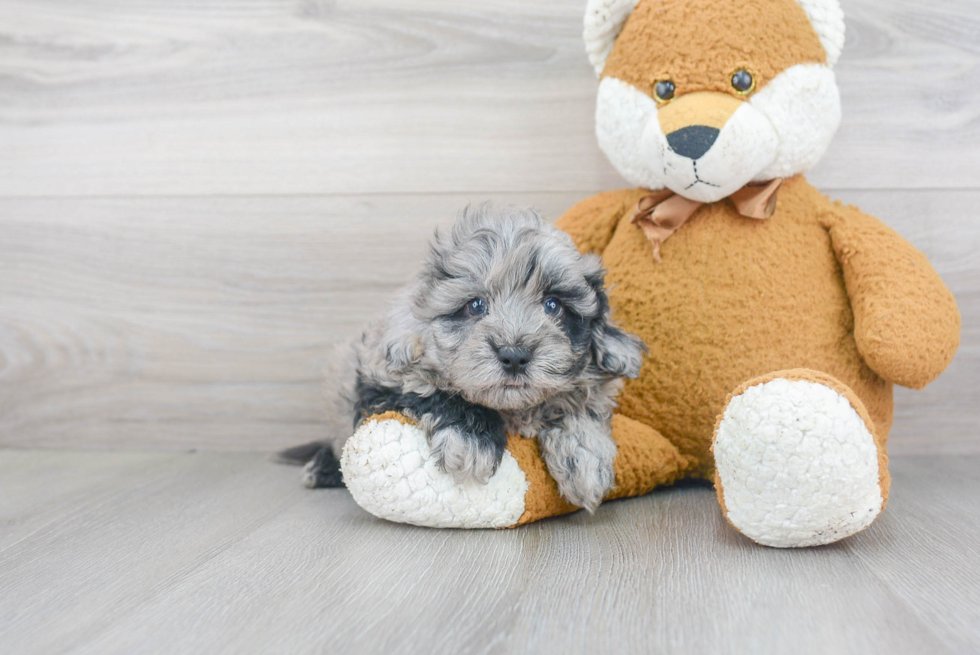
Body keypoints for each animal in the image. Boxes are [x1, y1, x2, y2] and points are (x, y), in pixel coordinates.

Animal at [292, 205, 644, 512]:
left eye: (553, 305)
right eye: (475, 306)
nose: (514, 356)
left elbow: (581, 403)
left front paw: (585, 455)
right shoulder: (382, 379)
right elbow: (431, 392)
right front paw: (471, 440)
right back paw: (320, 468)